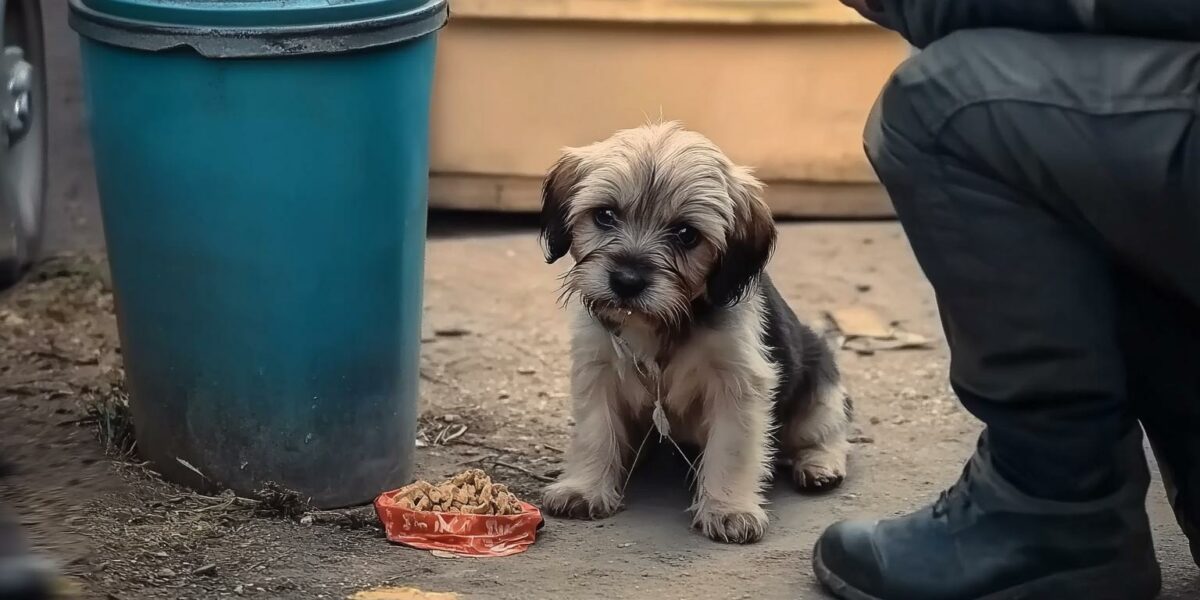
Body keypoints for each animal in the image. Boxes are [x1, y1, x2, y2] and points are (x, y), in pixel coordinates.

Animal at [540, 121, 859, 544]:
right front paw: (584, 487)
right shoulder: (598, 370)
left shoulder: (739, 385)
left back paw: (820, 465)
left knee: (827, 432)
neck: (660, 324)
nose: (626, 281)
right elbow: (596, 432)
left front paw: (728, 508)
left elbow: (731, 449)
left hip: (821, 383)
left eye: (686, 234)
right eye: (605, 215)